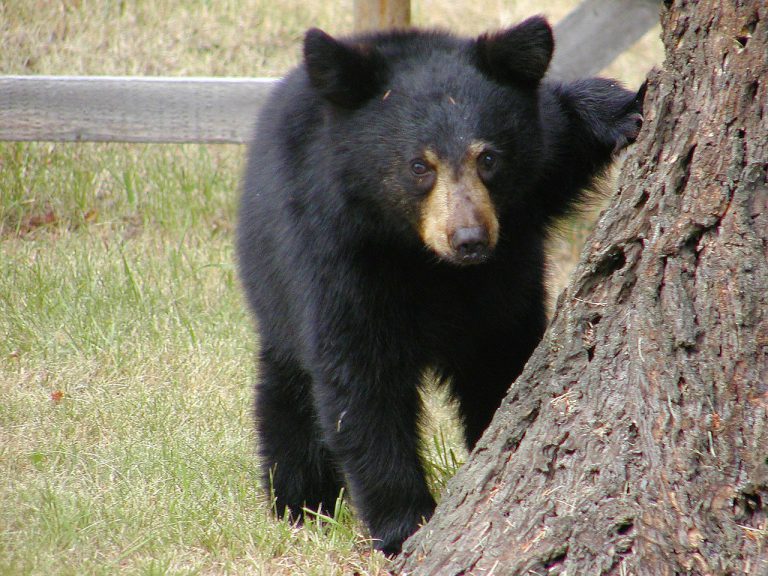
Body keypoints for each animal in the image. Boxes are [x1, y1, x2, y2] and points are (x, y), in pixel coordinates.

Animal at [237, 15, 644, 556]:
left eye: (488, 159)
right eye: (419, 166)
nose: (469, 239)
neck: (425, 260)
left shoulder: (524, 207)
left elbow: (558, 136)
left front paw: (621, 109)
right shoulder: (334, 254)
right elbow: (360, 385)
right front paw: (403, 524)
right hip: (272, 290)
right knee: (288, 395)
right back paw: (300, 501)